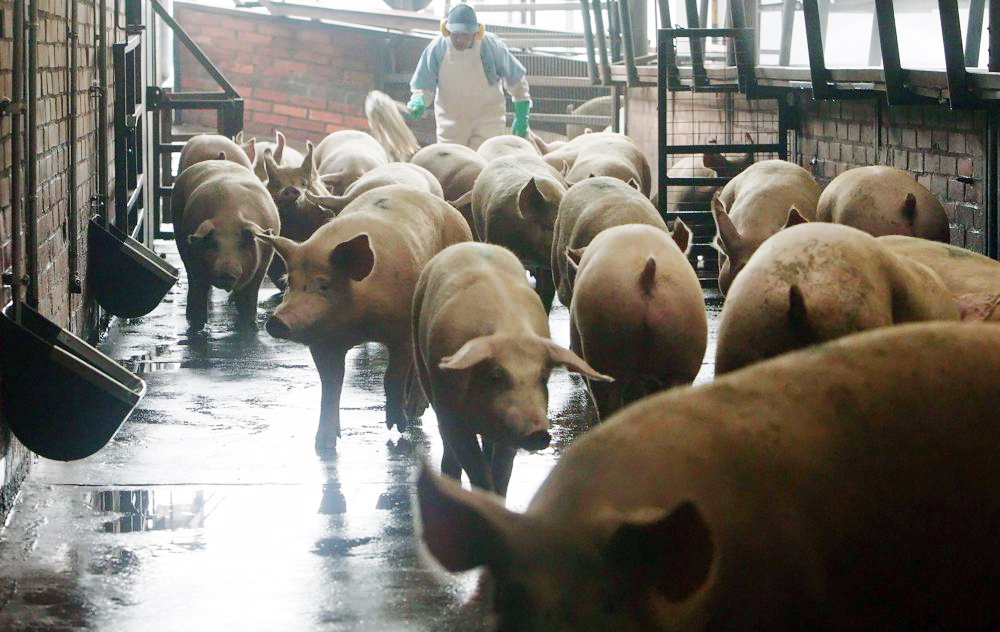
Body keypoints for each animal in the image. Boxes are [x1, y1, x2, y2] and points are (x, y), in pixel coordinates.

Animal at [171, 160, 280, 331]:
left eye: (241, 244)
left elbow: (249, 299)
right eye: (212, 244)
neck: (229, 215)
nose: (226, 270)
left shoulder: (262, 267)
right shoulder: (196, 266)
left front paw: (250, 326)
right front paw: (198, 325)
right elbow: (199, 292)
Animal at [258, 185, 472, 452]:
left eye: (324, 285)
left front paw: (397, 427)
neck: (358, 323)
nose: (276, 321)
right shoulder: (323, 342)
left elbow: (391, 377)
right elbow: (331, 385)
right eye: (290, 283)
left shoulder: (402, 332)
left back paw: (413, 412)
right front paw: (323, 444)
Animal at [412, 242, 610, 496]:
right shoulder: (450, 412)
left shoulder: (509, 427)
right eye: (495, 376)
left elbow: (501, 472)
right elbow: (476, 469)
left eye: (542, 377)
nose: (539, 433)